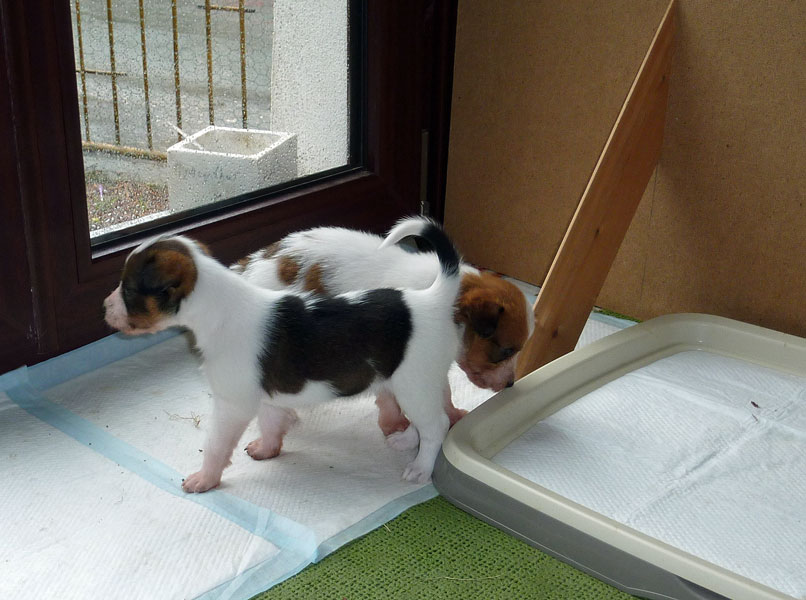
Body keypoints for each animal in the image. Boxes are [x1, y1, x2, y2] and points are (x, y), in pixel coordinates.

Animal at [103, 217, 462, 492]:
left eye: (128, 289)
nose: (104, 307)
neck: (219, 309)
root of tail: (433, 298)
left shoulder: (231, 405)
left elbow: (216, 447)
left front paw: (204, 480)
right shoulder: (268, 397)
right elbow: (271, 425)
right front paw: (267, 449)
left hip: (413, 385)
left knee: (437, 426)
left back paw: (420, 467)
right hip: (423, 383)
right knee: (437, 413)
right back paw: (406, 441)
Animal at [231, 223, 534, 435]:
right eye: (506, 351)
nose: (511, 383)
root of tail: (245, 269)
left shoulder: (430, 365)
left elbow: (443, 392)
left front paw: (452, 414)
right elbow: (391, 398)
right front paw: (394, 423)